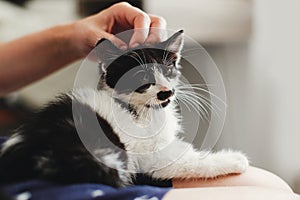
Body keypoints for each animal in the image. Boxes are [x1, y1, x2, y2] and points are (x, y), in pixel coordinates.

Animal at [0, 30, 248, 188]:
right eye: (142, 78)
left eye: (168, 70)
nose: (166, 92)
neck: (143, 111)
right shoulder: (150, 155)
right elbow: (186, 161)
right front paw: (233, 159)